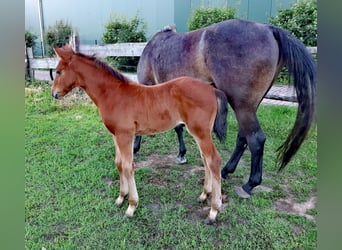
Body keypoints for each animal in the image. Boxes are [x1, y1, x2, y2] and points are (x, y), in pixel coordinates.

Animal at [50, 45, 228, 225]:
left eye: (58, 71)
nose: (54, 94)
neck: (112, 94)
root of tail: (212, 88)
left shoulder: (125, 135)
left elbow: (129, 166)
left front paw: (131, 206)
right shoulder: (116, 135)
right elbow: (119, 163)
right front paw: (121, 198)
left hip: (200, 132)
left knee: (214, 161)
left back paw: (213, 211)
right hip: (200, 133)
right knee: (205, 160)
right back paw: (204, 195)